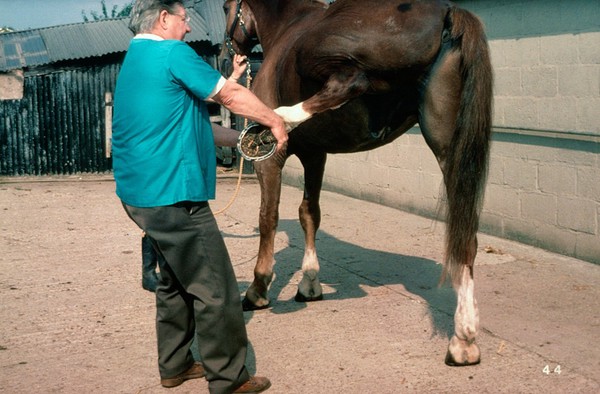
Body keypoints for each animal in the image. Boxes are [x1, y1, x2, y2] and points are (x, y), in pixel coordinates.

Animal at [223, 0, 494, 366]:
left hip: (320, 56)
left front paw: (257, 291)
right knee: (466, 239)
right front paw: (309, 284)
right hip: (451, 148)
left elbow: (269, 218)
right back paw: (464, 340)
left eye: (227, 7)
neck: (286, 28)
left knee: (352, 81)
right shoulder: (315, 156)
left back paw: (281, 118)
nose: (231, 53)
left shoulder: (273, 163)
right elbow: (309, 214)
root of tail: (449, 10)